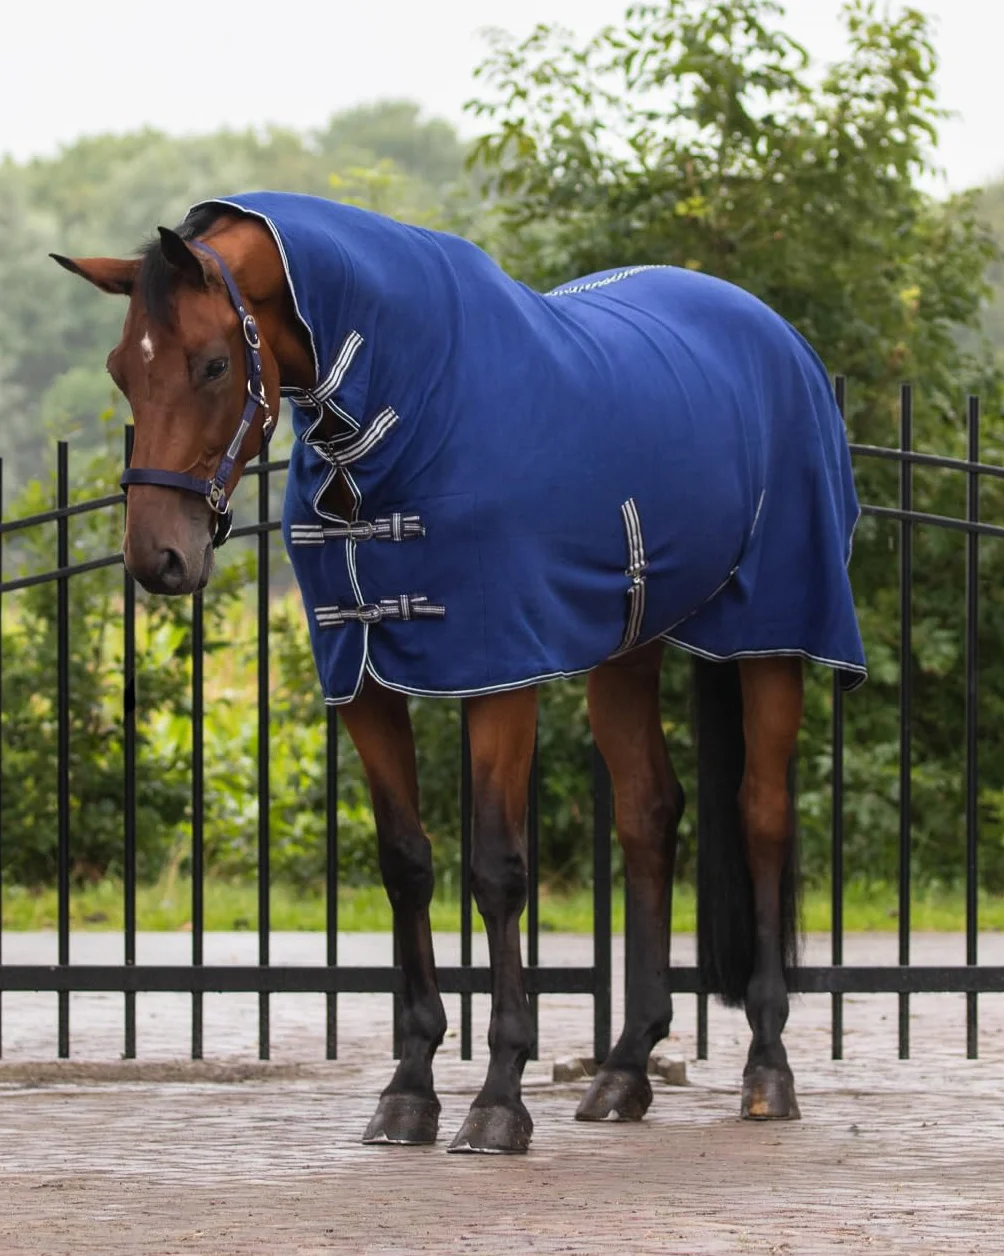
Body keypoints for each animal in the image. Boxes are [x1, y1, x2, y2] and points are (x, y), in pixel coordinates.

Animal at [51, 190, 866, 1154]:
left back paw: (767, 1069)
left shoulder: (498, 670)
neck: (400, 410)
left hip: (776, 634)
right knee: (647, 815)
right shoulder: (361, 680)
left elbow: (497, 870)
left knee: (762, 818)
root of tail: (772, 335)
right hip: (627, 645)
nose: (158, 559)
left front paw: (500, 1096)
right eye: (121, 371)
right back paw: (625, 1068)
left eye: (213, 364)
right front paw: (409, 1087)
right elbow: (406, 863)